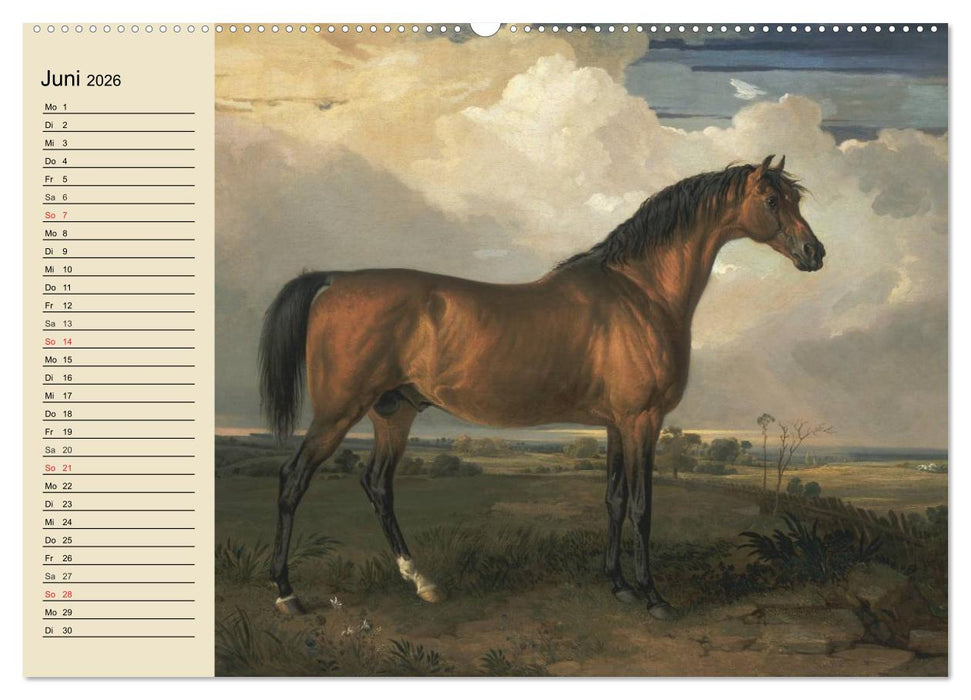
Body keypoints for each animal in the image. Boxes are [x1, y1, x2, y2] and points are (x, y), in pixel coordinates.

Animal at [259, 155, 825, 620]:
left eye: (796, 198)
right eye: (772, 200)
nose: (814, 252)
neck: (639, 294)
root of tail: (336, 280)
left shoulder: (615, 425)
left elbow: (613, 500)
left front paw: (618, 586)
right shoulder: (642, 421)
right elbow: (642, 509)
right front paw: (653, 597)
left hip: (392, 413)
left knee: (377, 485)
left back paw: (423, 583)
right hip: (338, 413)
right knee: (292, 480)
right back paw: (287, 595)